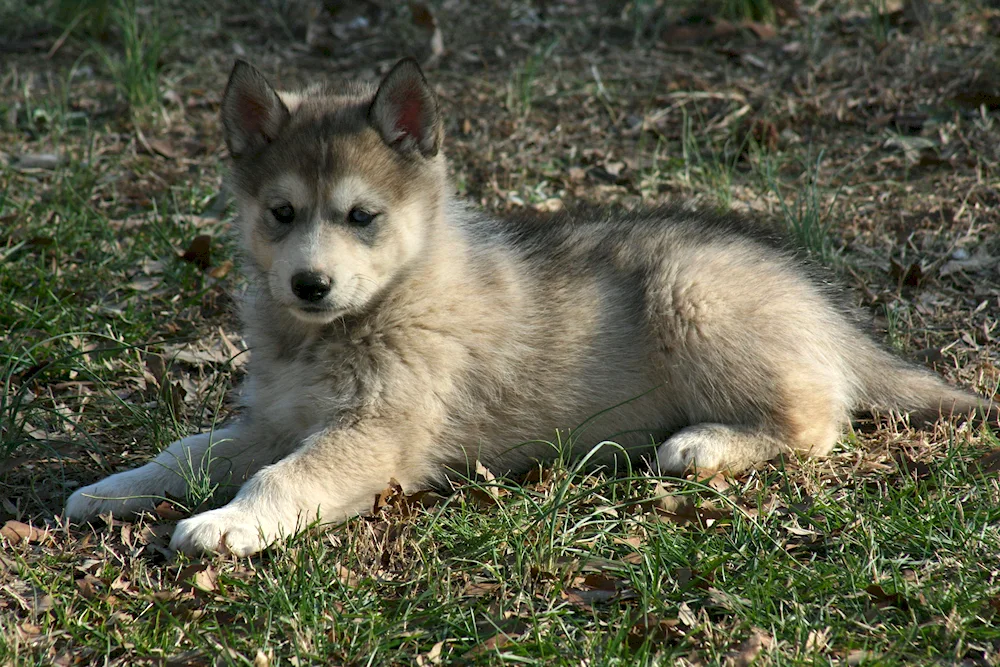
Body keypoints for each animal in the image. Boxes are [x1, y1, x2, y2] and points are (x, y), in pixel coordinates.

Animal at [64, 58, 992, 560]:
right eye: (282, 213)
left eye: (363, 216)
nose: (309, 285)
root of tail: (817, 300)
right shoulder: (273, 418)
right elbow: (189, 449)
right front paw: (115, 487)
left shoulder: (370, 437)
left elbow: (280, 477)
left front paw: (225, 525)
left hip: (694, 300)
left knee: (817, 419)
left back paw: (703, 443)